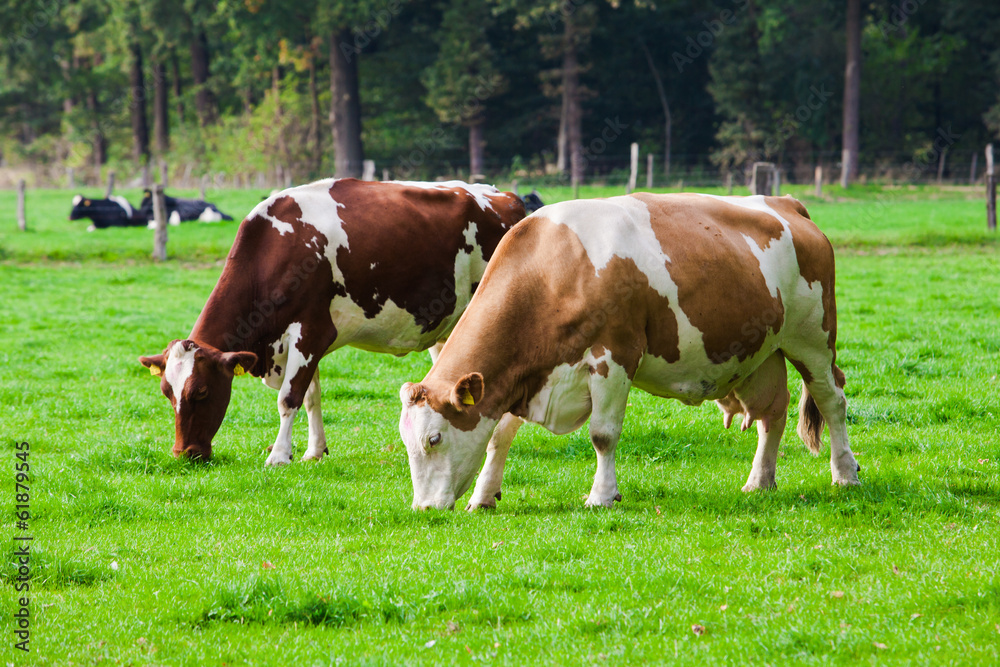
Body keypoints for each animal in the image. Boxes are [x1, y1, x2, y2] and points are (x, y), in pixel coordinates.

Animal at [139, 178, 526, 464]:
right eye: (166, 392)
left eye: (202, 391)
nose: (184, 454)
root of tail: (504, 196)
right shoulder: (300, 342)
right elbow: (311, 397)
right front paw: (313, 451)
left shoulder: (310, 331)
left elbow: (289, 398)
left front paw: (278, 456)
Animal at [398, 193, 861, 510]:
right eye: (406, 441)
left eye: (433, 439)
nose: (424, 509)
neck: (555, 268)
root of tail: (785, 203)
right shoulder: (526, 373)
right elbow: (497, 437)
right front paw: (484, 496)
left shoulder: (614, 355)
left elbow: (602, 435)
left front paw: (601, 496)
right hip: (764, 354)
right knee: (772, 413)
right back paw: (760, 480)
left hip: (813, 340)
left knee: (832, 399)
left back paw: (845, 473)